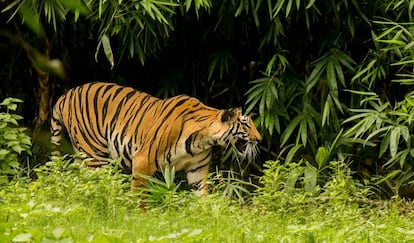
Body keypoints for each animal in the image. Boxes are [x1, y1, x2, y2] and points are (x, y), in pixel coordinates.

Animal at [50, 81, 260, 196]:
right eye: (246, 125)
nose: (260, 140)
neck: (203, 140)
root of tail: (66, 94)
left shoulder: (197, 170)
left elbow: (202, 194)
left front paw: (208, 215)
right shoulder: (143, 159)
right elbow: (139, 192)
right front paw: (138, 215)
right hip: (94, 154)